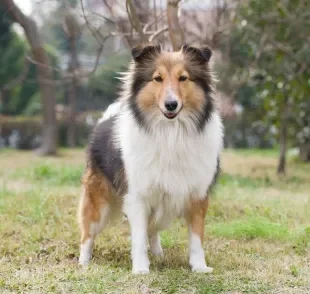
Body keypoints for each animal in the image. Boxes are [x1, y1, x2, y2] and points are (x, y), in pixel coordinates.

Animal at [77, 43, 223, 274]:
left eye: (183, 78)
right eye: (157, 78)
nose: (171, 105)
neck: (171, 133)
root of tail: (103, 121)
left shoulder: (197, 196)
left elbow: (196, 237)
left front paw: (199, 267)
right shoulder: (137, 196)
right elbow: (138, 237)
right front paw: (140, 269)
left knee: (153, 229)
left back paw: (158, 254)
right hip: (98, 201)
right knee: (88, 233)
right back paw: (83, 262)